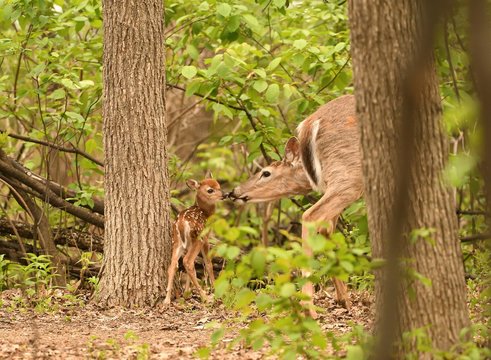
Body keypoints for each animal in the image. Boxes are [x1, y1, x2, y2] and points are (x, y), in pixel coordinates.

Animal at [229, 95, 364, 316]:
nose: (235, 191)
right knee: (310, 216)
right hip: (350, 174)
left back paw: (341, 299)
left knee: (324, 225)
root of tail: (311, 123)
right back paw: (309, 307)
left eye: (266, 172)